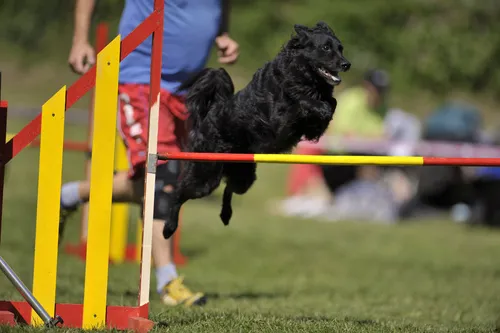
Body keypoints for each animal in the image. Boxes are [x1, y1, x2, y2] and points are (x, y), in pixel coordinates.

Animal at [162, 21, 350, 239]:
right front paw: (317, 106)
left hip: (244, 176)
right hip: (205, 176)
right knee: (178, 193)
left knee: (229, 188)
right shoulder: (279, 123)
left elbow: (332, 103)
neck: (299, 74)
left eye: (341, 48)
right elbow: (302, 103)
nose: (347, 64)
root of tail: (209, 115)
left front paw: (324, 111)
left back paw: (226, 214)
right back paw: (169, 227)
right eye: (326, 48)